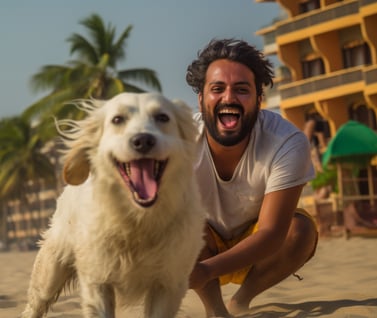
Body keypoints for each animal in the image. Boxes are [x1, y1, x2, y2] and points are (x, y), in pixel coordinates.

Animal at [21, 92, 203, 318]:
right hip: (50, 269)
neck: (138, 221)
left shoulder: (169, 283)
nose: (143, 140)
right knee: (35, 303)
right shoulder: (97, 281)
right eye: (117, 119)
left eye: (163, 117)